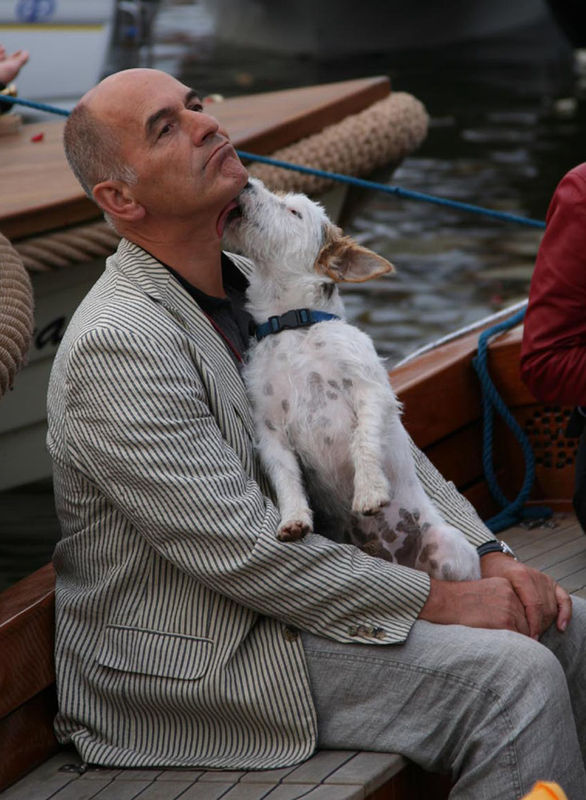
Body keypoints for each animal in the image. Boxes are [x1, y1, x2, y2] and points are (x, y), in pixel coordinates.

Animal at [223, 178, 480, 581]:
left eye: (293, 211)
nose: (246, 181)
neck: (294, 326)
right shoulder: (270, 430)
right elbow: (285, 477)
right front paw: (294, 519)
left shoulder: (371, 391)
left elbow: (363, 439)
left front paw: (370, 491)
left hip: (446, 546)